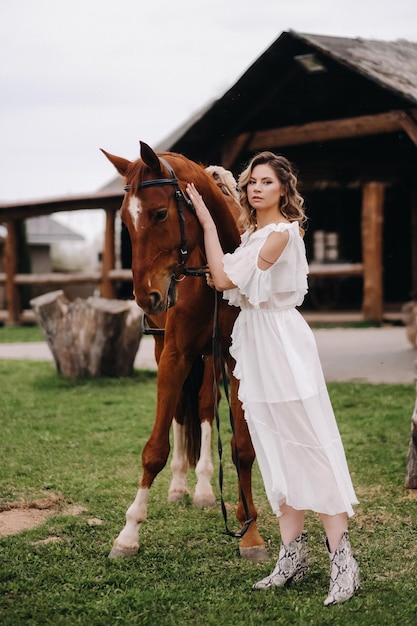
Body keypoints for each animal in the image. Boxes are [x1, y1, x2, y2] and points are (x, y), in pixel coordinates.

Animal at [102, 143, 268, 560]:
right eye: (125, 221)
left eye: (160, 213)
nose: (145, 295)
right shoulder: (174, 355)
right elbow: (155, 448)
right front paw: (128, 534)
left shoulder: (234, 360)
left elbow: (242, 447)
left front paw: (250, 531)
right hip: (167, 347)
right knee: (181, 410)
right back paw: (180, 485)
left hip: (210, 359)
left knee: (207, 406)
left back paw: (208, 489)